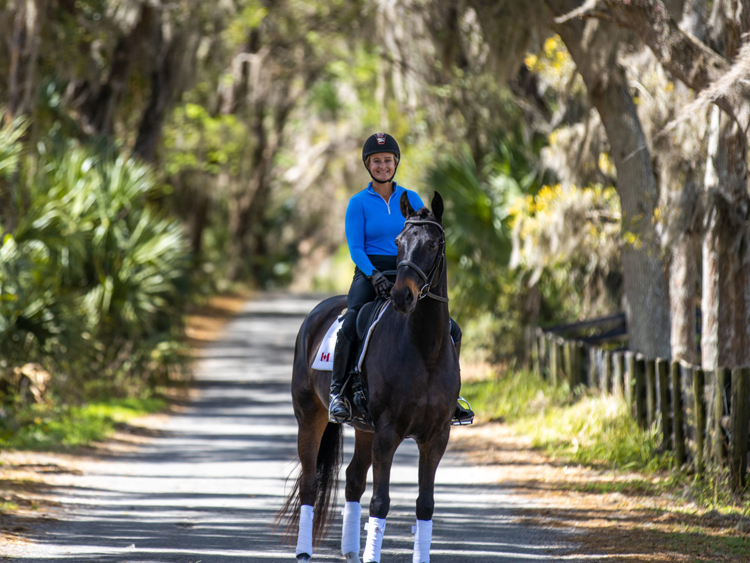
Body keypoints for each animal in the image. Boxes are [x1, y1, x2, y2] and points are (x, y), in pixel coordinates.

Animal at [280, 192, 462, 560]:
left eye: (433, 243)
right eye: (398, 242)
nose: (402, 296)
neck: (425, 348)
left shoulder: (436, 436)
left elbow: (425, 505)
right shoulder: (389, 432)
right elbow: (380, 502)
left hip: (365, 428)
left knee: (352, 479)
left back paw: (351, 551)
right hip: (310, 416)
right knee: (309, 483)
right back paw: (305, 551)